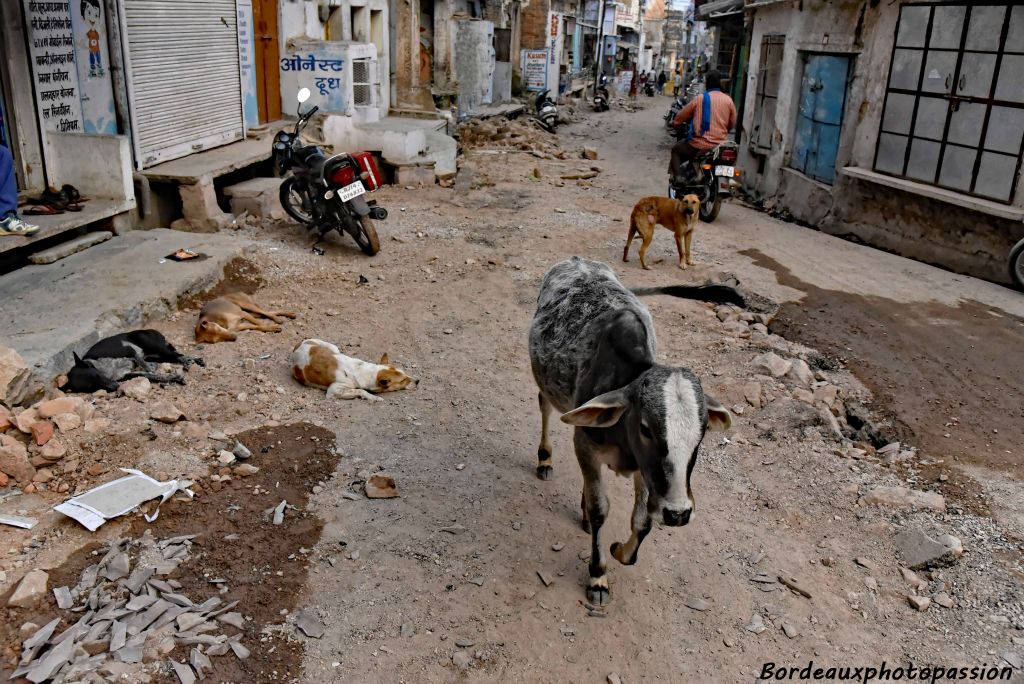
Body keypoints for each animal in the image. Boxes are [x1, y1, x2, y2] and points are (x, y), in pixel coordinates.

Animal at [64, 329, 203, 393]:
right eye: (91, 387)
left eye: (97, 376)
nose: (115, 387)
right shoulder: (128, 374)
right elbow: (151, 375)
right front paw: (171, 377)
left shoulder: (129, 350)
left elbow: (146, 367)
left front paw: (155, 370)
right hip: (156, 355)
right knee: (175, 356)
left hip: (151, 344)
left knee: (178, 354)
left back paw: (192, 361)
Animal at [532, 258, 741, 602]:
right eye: (645, 427)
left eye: (701, 433)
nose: (678, 513)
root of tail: (577, 260)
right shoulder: (584, 445)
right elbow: (601, 508)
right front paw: (598, 575)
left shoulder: (647, 472)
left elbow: (642, 521)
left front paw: (619, 550)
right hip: (547, 390)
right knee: (545, 407)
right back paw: (544, 460)